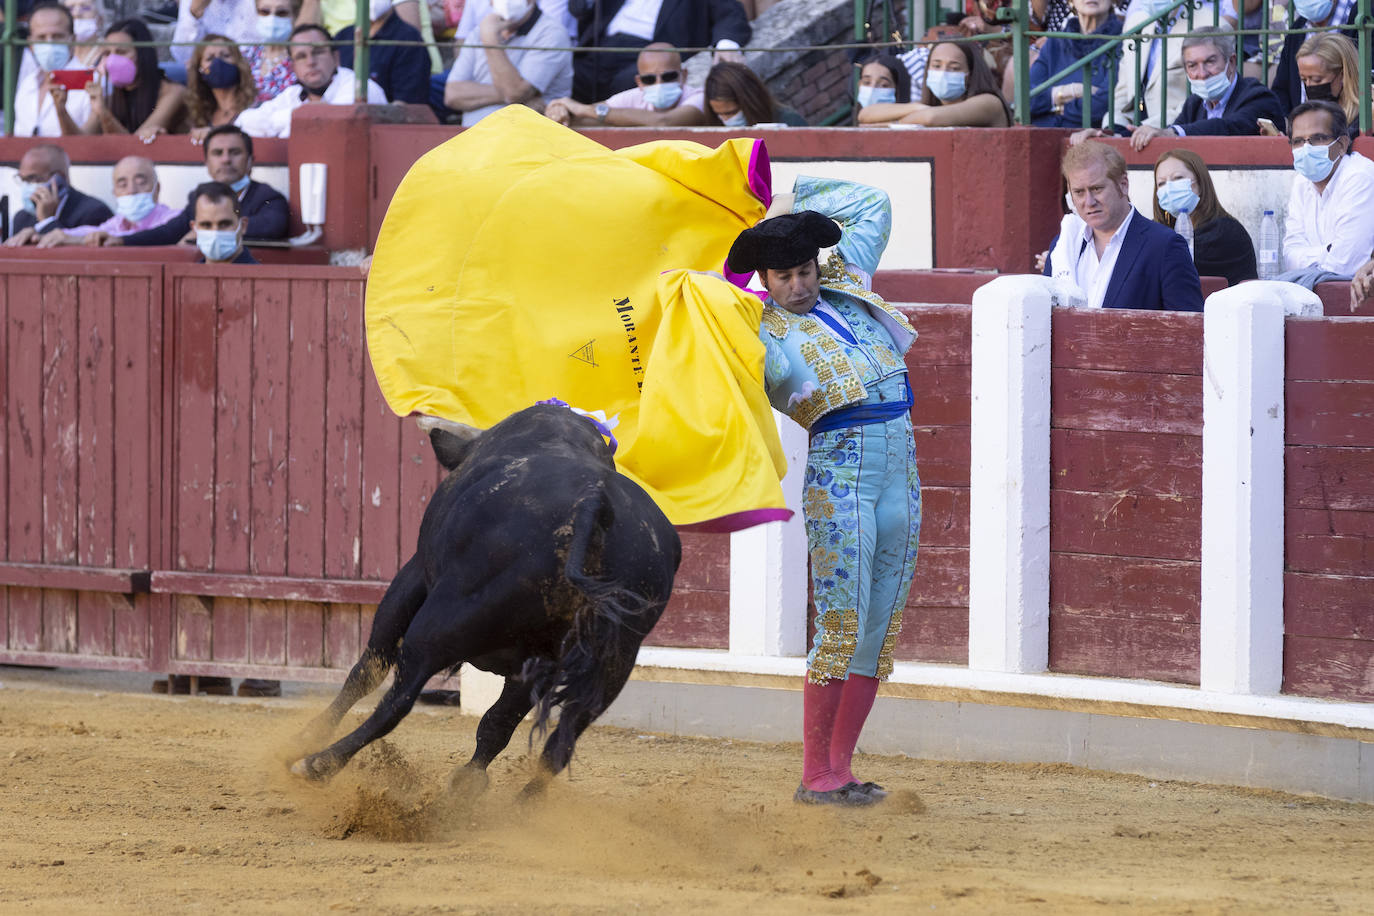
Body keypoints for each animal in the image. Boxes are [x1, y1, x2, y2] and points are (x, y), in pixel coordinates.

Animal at [289, 403, 681, 796]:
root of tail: (592, 504)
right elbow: (497, 725)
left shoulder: (413, 575)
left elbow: (368, 668)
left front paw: (308, 736)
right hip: (609, 664)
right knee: (554, 744)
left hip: (437, 626)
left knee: (397, 701)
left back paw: (316, 762)